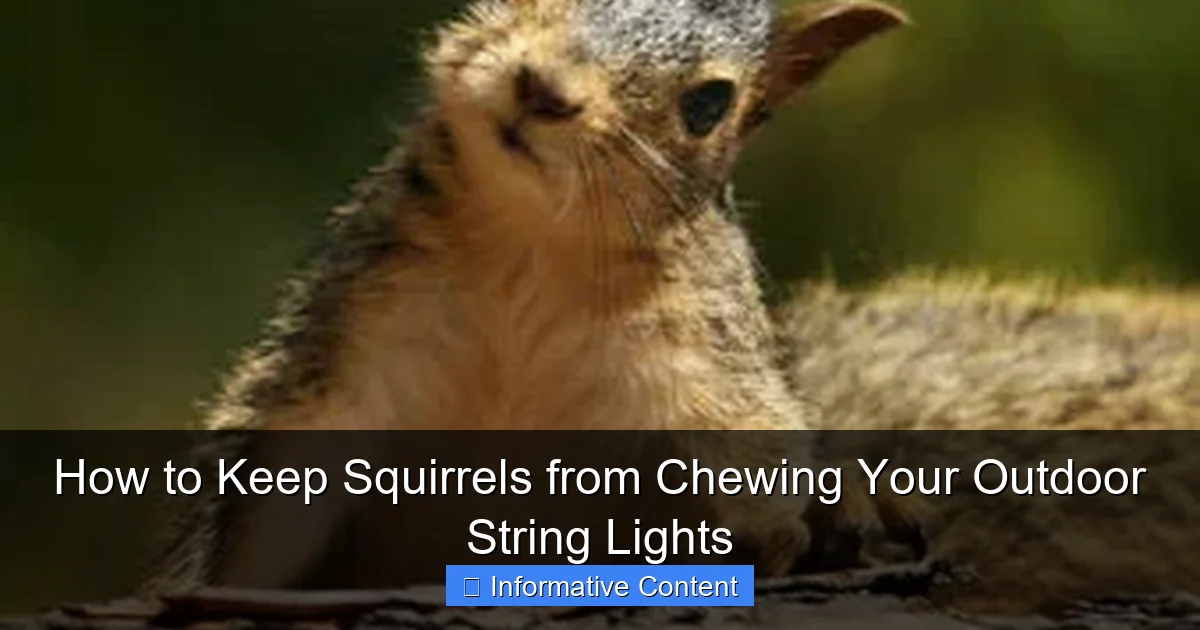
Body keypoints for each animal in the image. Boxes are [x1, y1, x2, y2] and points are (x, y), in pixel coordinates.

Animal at [141, 0, 915, 595]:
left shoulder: (699, 367)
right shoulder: (354, 345)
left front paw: (786, 526)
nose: (543, 87)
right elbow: (274, 491)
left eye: (710, 103)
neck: (531, 250)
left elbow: (752, 434)